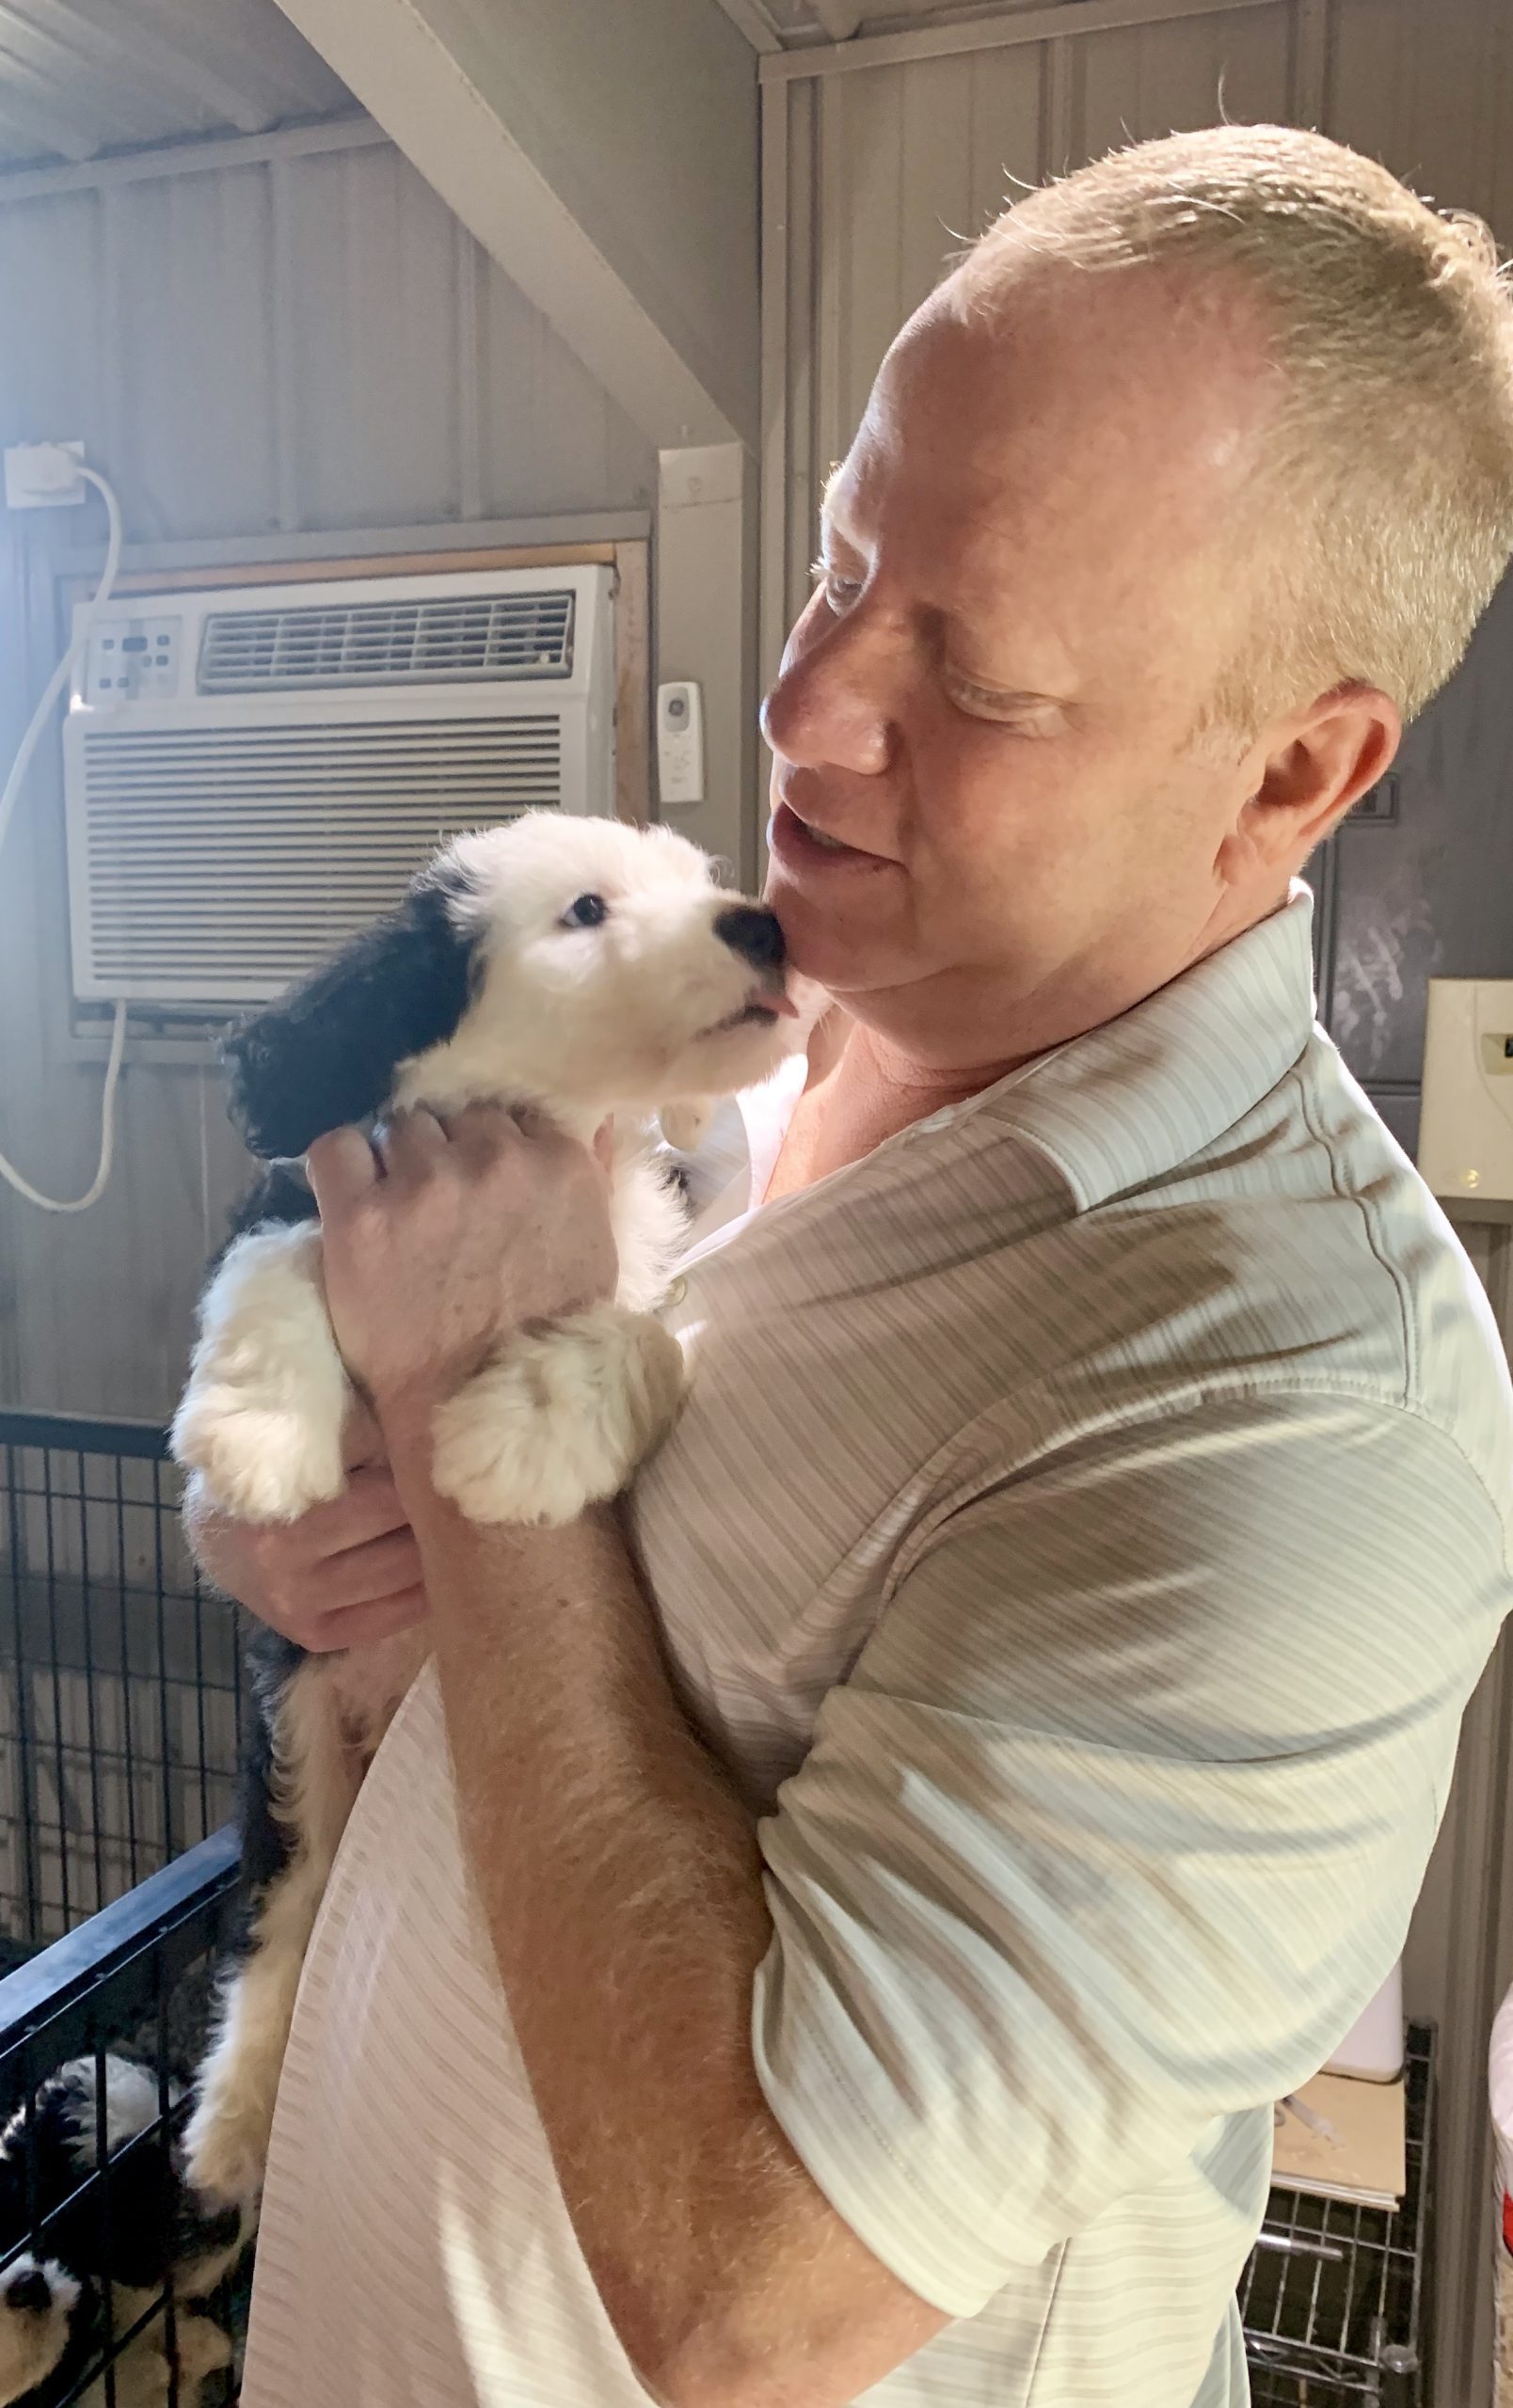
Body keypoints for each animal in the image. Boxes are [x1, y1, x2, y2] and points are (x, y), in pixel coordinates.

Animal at [170, 809, 809, 2205]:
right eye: (586, 910)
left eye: (697, 882)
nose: (765, 922)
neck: (547, 1121)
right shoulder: (314, 1191)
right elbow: (276, 1258)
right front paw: (257, 1438)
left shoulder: (644, 1275)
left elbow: (653, 1339)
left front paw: (514, 1432)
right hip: (292, 1729)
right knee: (285, 1916)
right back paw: (237, 2117)